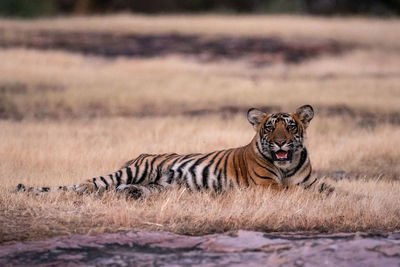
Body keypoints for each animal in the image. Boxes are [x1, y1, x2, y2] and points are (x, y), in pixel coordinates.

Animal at [16, 104, 334, 199]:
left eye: (290, 127)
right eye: (270, 128)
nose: (280, 143)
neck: (287, 165)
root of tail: (137, 156)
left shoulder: (311, 180)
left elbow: (330, 190)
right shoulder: (267, 187)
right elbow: (293, 192)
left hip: (160, 186)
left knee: (127, 189)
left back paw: (128, 194)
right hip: (133, 170)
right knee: (89, 183)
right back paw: (88, 193)